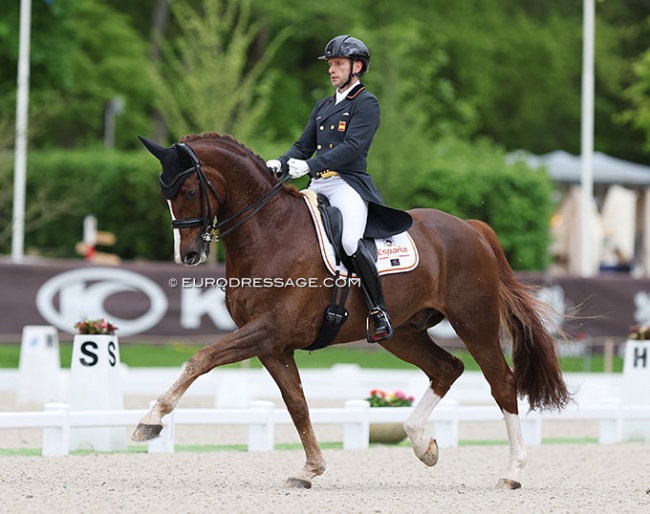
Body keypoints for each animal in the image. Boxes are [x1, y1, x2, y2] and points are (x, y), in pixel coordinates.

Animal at [133, 131, 568, 488]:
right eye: (165, 193)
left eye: (190, 190)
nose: (188, 255)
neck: (270, 231)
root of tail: (471, 227)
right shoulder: (274, 346)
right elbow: (297, 404)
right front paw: (310, 470)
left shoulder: (267, 331)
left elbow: (201, 358)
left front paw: (150, 420)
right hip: (402, 333)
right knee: (447, 368)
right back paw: (422, 444)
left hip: (473, 322)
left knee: (502, 383)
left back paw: (511, 471)